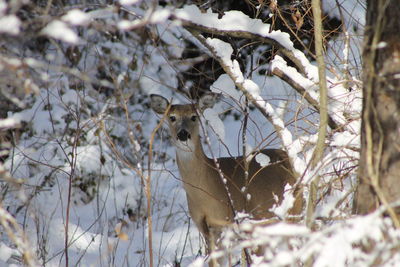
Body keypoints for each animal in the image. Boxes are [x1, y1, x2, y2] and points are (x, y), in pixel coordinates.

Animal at [151, 93, 304, 266]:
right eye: (172, 117)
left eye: (194, 116)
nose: (183, 134)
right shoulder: (207, 228)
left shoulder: (229, 223)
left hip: (285, 213)